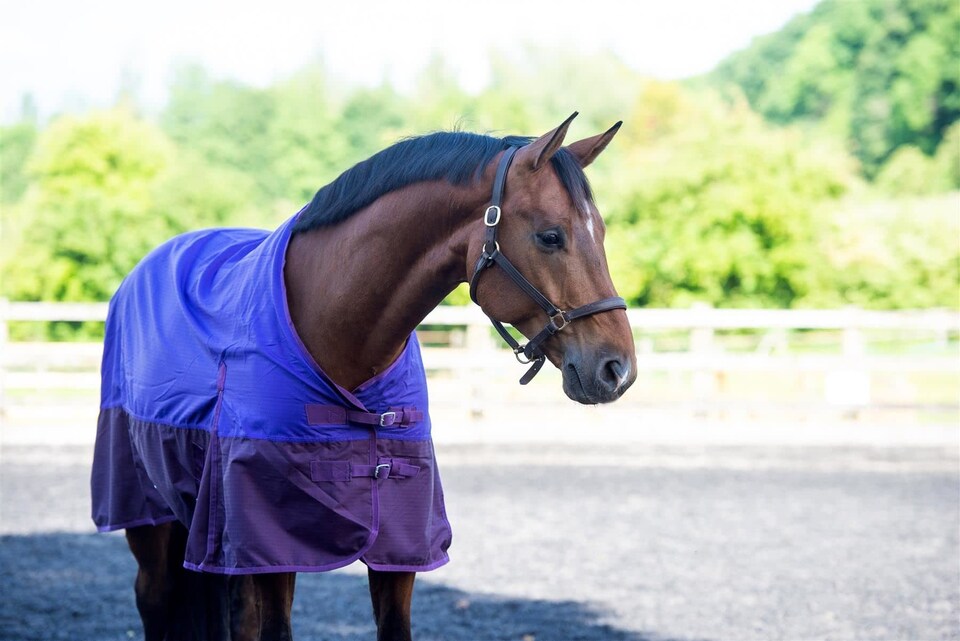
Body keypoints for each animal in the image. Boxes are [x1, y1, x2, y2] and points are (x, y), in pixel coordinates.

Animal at [90, 112, 637, 640]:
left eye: (601, 234)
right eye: (551, 236)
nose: (617, 369)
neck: (337, 335)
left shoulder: (399, 542)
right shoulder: (273, 542)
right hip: (152, 518)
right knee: (154, 598)